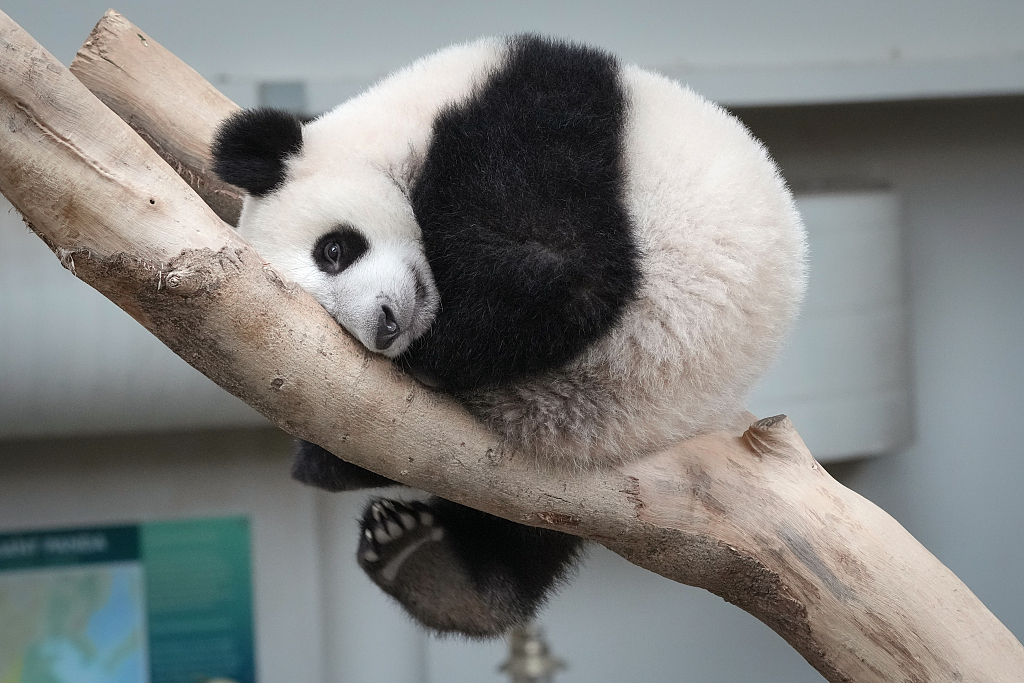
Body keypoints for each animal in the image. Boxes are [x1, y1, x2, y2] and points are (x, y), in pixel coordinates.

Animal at [211, 34, 802, 638]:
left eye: (332, 251)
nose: (384, 327)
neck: (409, 119)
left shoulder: (533, 121)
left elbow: (563, 269)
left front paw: (437, 346)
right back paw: (432, 567)